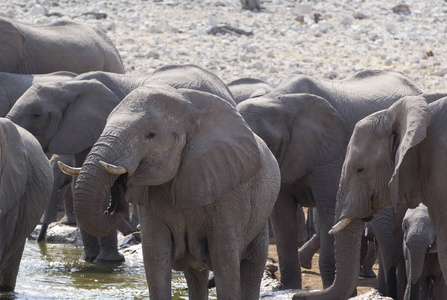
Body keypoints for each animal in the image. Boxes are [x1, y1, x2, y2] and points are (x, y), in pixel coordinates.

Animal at [60, 83, 282, 298]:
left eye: (150, 135)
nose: (120, 181)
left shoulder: (230, 192)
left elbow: (225, 260)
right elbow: (155, 256)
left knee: (251, 267)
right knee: (196, 275)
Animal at [236, 69, 426, 290]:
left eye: (266, 144)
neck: (278, 100)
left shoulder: (329, 154)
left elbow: (328, 211)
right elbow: (282, 216)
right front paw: (290, 288)